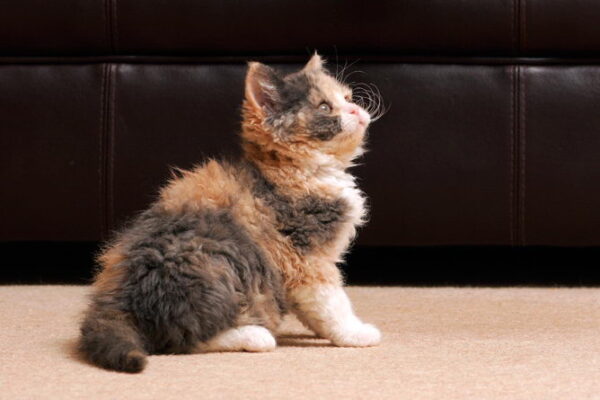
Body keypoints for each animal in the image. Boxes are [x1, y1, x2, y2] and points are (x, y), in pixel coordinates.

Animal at [78, 53, 380, 372]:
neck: (300, 170)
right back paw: (254, 335)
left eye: (347, 97)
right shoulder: (304, 259)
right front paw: (354, 332)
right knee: (180, 339)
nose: (356, 109)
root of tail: (115, 296)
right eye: (324, 107)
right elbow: (331, 302)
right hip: (216, 262)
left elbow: (314, 310)